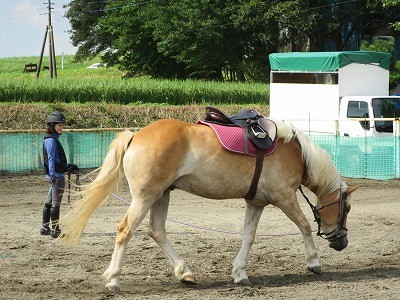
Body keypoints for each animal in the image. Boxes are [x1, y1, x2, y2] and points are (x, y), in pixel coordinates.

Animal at [61, 117, 360, 290]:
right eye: (346, 208)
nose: (342, 242)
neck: (295, 152)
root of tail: (136, 134)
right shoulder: (284, 198)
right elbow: (304, 227)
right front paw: (314, 262)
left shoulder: (256, 203)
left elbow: (248, 237)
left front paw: (240, 273)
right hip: (145, 197)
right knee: (125, 231)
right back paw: (114, 279)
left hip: (161, 195)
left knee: (157, 231)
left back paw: (185, 272)